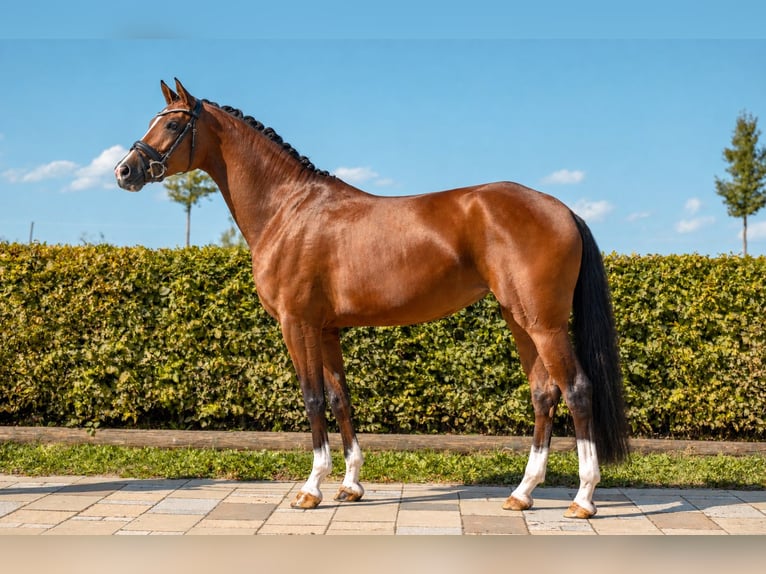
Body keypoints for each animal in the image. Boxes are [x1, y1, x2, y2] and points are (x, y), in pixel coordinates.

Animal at [115, 79, 629, 519]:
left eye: (174, 125)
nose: (124, 171)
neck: (289, 209)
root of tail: (563, 209)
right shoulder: (326, 330)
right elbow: (340, 399)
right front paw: (350, 485)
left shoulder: (297, 324)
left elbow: (313, 399)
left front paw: (311, 489)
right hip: (520, 319)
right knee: (544, 393)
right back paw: (522, 493)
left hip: (545, 324)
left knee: (577, 390)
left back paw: (583, 499)